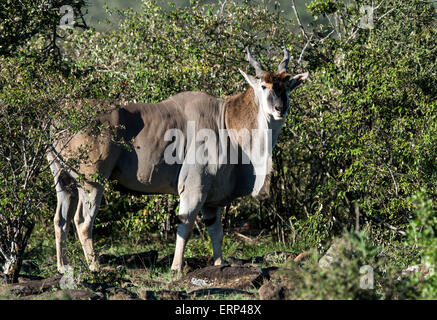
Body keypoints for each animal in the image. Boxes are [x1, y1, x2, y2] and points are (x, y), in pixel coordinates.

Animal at [46, 47, 306, 272]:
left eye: (288, 86)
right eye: (263, 86)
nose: (280, 108)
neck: (227, 121)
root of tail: (56, 118)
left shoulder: (212, 200)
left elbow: (216, 231)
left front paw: (219, 264)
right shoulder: (194, 188)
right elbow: (186, 225)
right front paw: (176, 268)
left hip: (64, 179)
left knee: (60, 220)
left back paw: (63, 266)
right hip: (92, 181)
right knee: (82, 221)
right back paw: (95, 267)